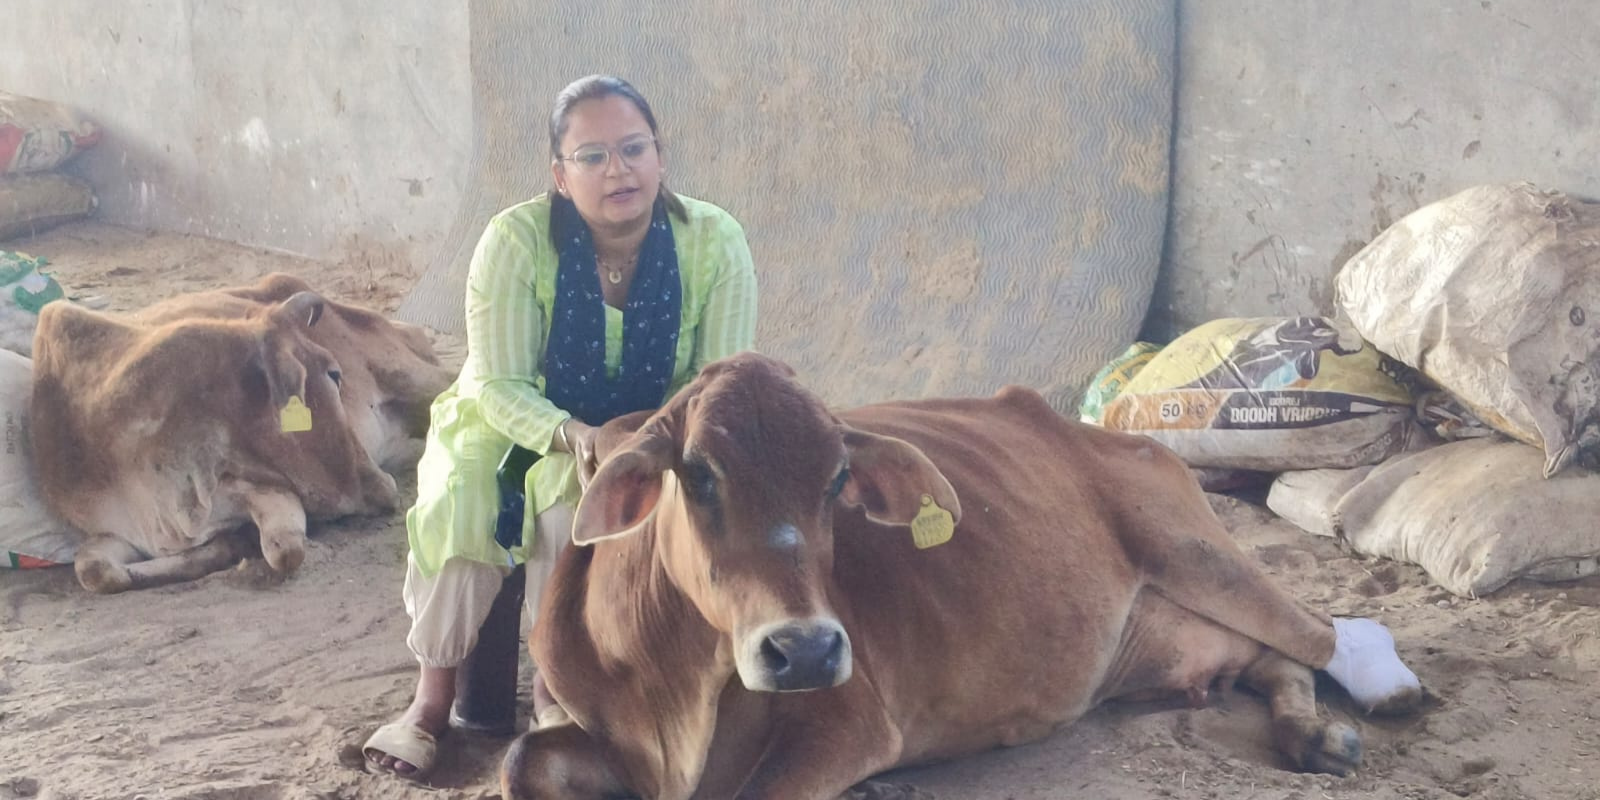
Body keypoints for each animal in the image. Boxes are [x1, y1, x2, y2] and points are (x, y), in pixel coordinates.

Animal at [30, 272, 454, 594]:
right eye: (333, 374)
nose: (379, 485)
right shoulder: (116, 533)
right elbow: (95, 571)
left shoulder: (271, 491)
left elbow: (285, 550)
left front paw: (239, 545)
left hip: (420, 380)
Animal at [500, 352, 1425, 799]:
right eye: (697, 475)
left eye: (838, 479)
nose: (805, 652)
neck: (670, 690)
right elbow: (517, 761)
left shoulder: (850, 725)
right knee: (1273, 659)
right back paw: (1312, 736)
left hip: (1192, 549)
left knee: (1327, 632)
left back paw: (1377, 697)